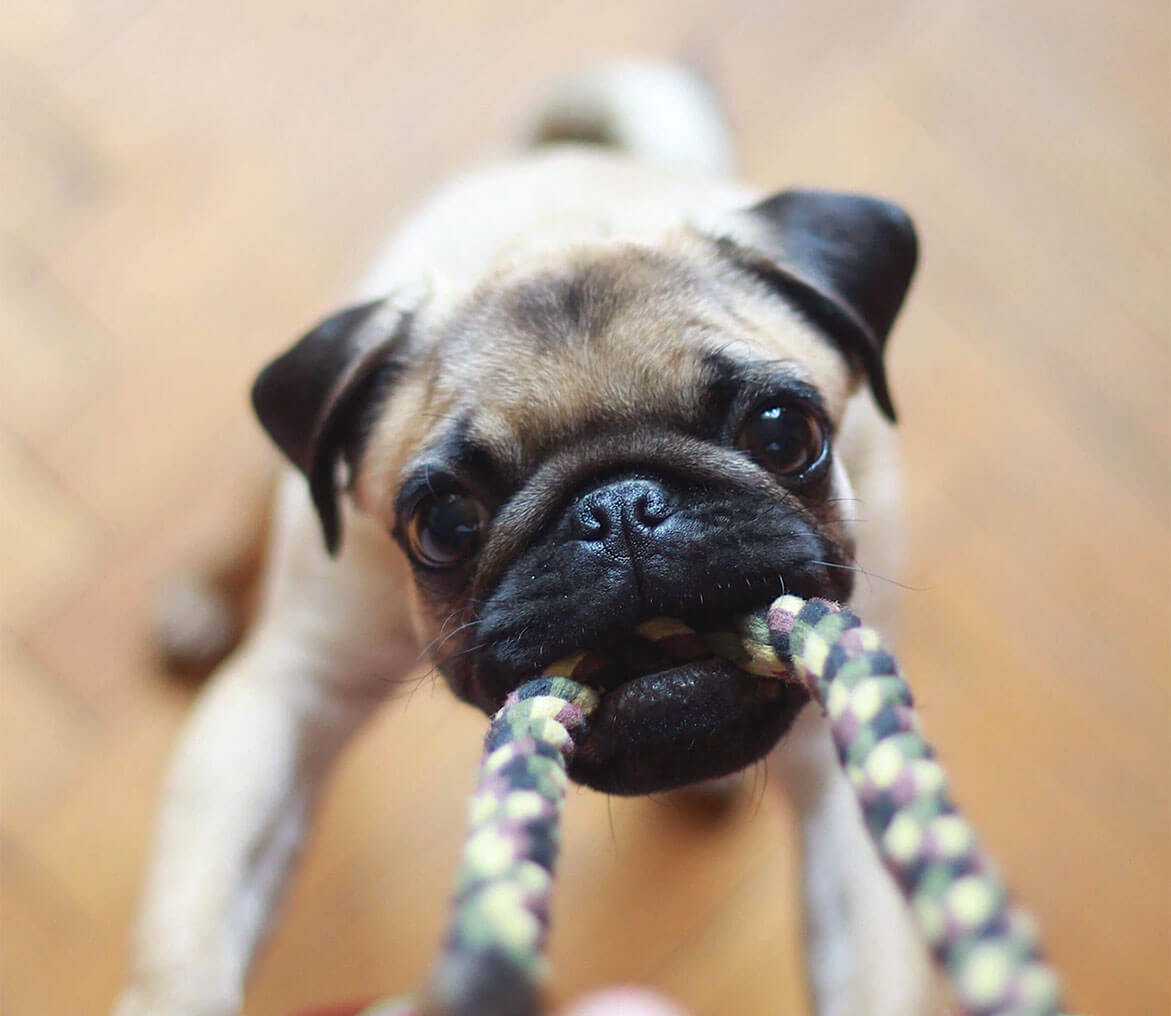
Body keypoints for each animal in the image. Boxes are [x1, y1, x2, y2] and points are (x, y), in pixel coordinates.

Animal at [116, 63, 941, 1016]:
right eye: (444, 524)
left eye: (782, 434)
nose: (620, 509)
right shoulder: (292, 689)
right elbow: (189, 932)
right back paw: (204, 598)